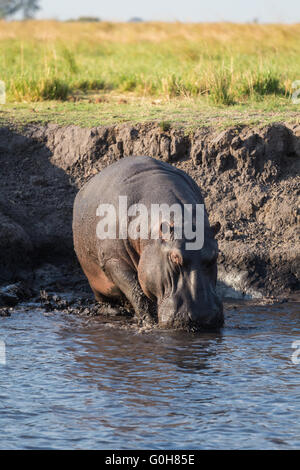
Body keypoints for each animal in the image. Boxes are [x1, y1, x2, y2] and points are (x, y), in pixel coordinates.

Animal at [72, 156, 223, 328]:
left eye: (215, 255)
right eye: (174, 258)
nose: (202, 317)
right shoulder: (113, 260)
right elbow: (135, 291)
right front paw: (149, 321)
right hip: (94, 276)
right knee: (105, 298)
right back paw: (114, 311)